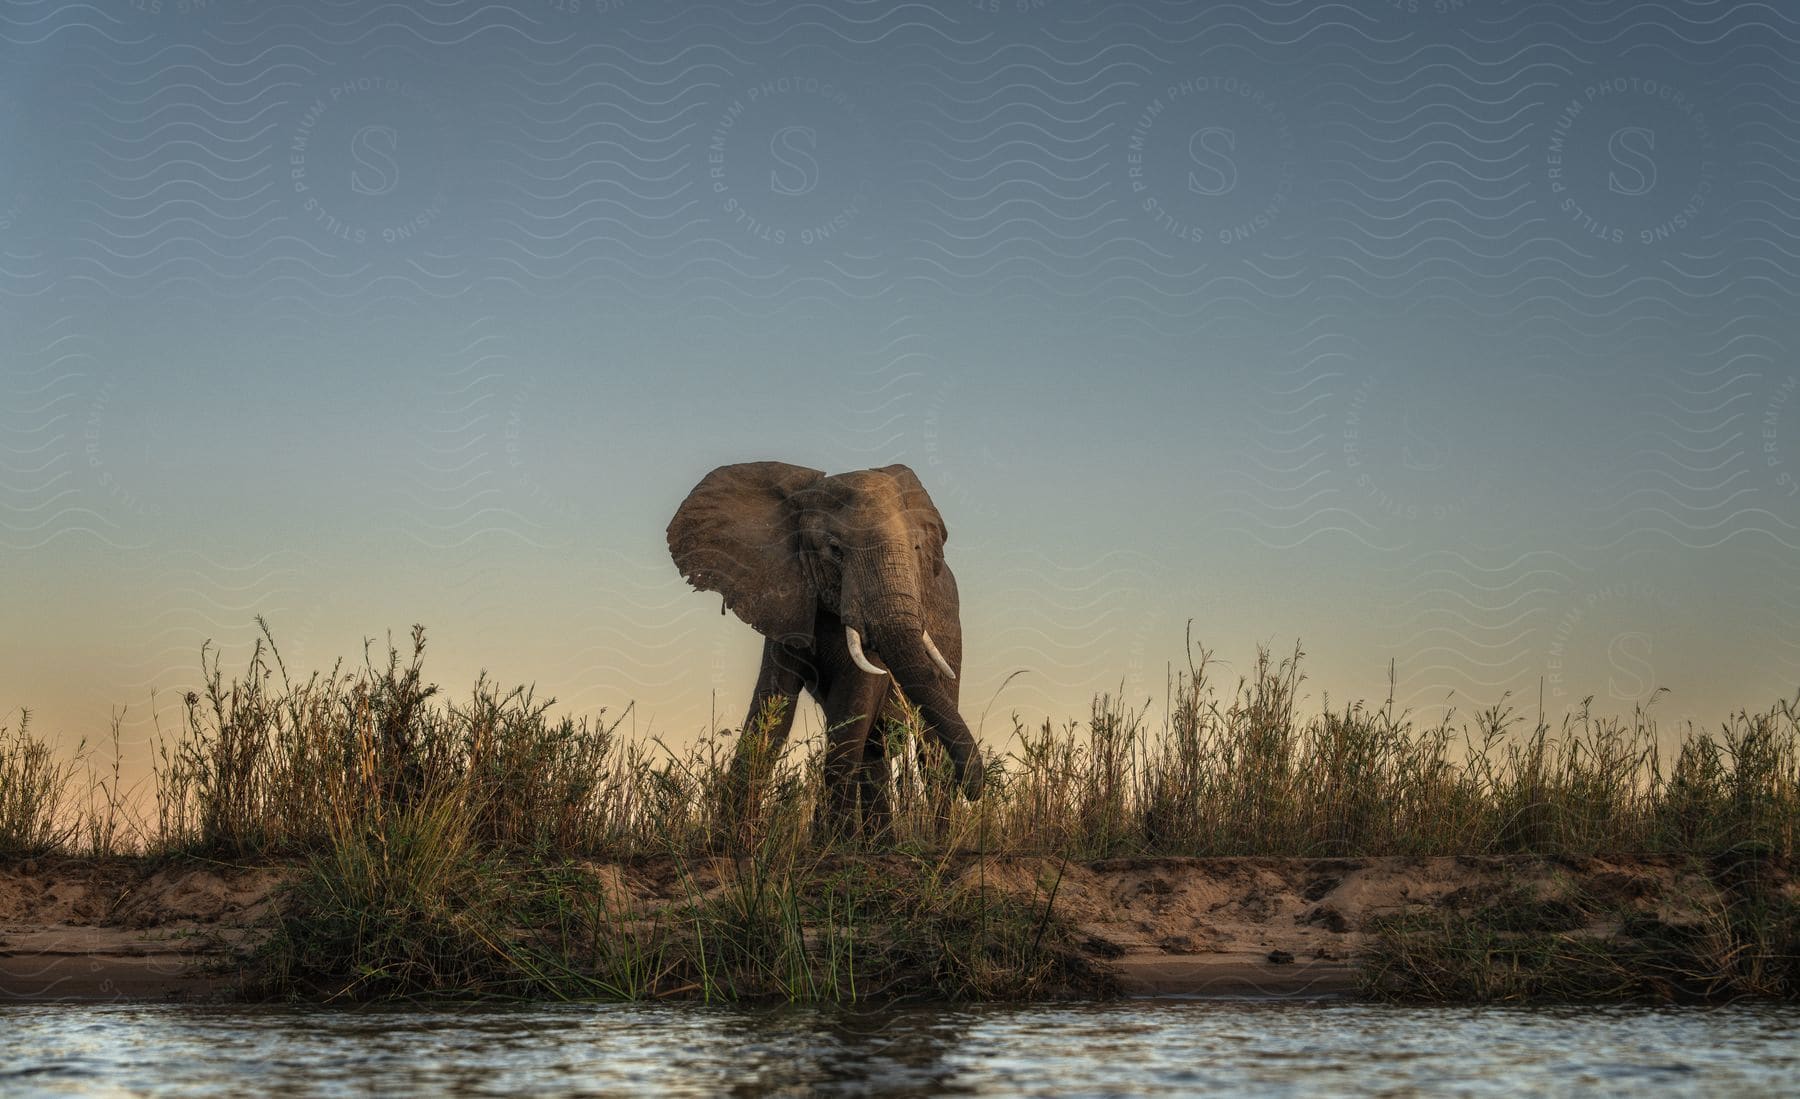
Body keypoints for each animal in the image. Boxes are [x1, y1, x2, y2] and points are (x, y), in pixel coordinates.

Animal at [669, 460, 986, 838]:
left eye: (916, 549)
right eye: (835, 550)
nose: (976, 789)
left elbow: (853, 705)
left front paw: (832, 842)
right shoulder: (785, 597)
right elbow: (771, 708)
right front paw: (732, 839)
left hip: (951, 636)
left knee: (926, 747)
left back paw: (934, 839)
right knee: (878, 746)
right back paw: (883, 843)